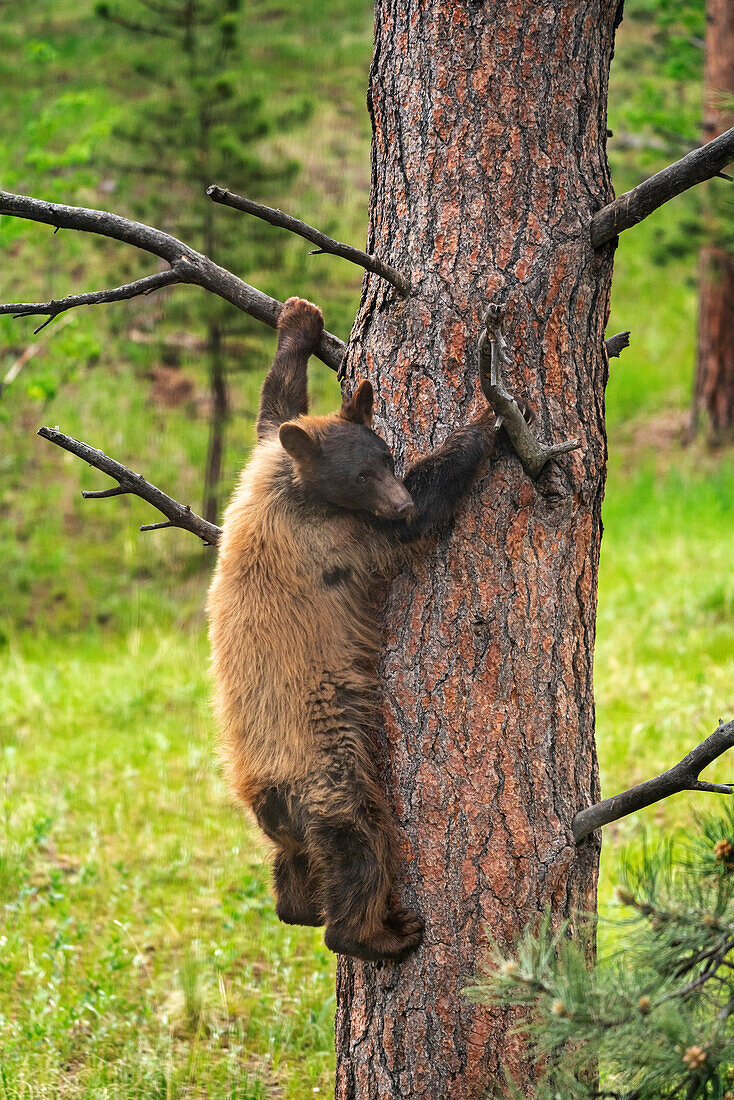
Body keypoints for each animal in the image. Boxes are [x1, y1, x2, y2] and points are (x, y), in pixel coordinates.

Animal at [207, 297, 499, 959]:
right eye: (363, 475)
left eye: (386, 458)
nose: (399, 502)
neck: (294, 490)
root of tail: (265, 797)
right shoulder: (333, 540)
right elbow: (416, 519)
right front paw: (489, 417)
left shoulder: (264, 459)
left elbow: (275, 407)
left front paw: (298, 321)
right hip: (331, 777)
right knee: (359, 847)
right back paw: (376, 933)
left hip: (284, 821)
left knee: (291, 865)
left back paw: (296, 905)